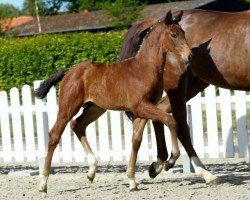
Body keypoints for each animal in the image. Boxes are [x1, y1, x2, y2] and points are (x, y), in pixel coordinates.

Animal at [35, 10, 191, 192]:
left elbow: (136, 140)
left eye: (184, 33)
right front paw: (170, 160)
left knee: (77, 125)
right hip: (68, 107)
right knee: (54, 134)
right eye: (173, 34)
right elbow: (170, 120)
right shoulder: (139, 106)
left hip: (95, 108)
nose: (190, 56)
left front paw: (132, 181)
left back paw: (91, 171)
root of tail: (69, 72)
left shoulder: (145, 107)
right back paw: (43, 183)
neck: (144, 68)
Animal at [119, 9, 250, 184]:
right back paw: (202, 172)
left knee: (157, 115)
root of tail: (157, 21)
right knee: (179, 124)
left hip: (193, 85)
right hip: (177, 86)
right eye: (174, 35)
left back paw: (158, 165)